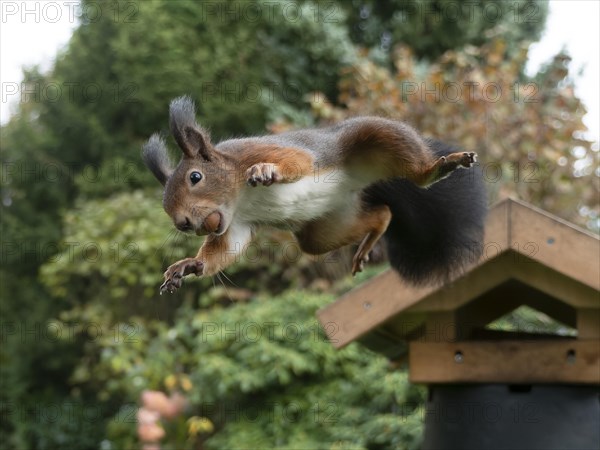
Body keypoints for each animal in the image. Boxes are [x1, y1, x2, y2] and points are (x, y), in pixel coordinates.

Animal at [142, 96, 488, 294]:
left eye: (195, 177)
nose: (183, 223)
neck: (238, 198)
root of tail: (363, 181)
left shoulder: (258, 151)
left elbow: (299, 161)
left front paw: (267, 172)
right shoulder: (235, 223)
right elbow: (228, 247)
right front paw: (189, 265)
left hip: (376, 137)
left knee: (417, 174)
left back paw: (441, 166)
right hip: (326, 230)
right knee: (382, 214)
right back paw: (369, 240)